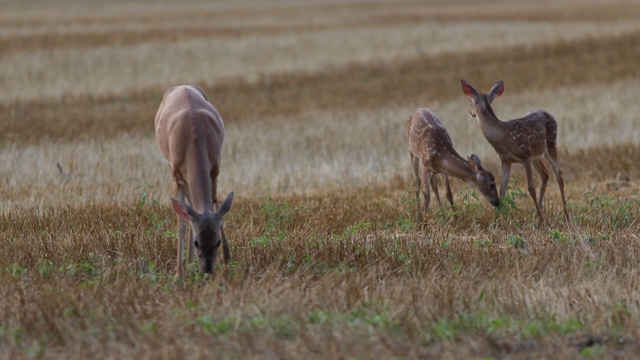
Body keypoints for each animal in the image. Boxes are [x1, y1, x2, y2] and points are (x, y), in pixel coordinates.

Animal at [155, 85, 235, 278]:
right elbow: (181, 224)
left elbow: (216, 206)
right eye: (197, 242)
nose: (207, 270)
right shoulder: (176, 175)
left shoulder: (214, 169)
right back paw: (189, 264)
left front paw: (227, 256)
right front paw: (179, 274)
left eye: (217, 241)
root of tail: (182, 86)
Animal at [460, 80, 568, 224]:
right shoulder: (505, 160)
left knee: (559, 175)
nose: (470, 112)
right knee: (545, 175)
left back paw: (565, 215)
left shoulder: (525, 156)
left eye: (470, 102)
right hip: (536, 156)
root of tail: (549, 114)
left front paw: (541, 219)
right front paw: (497, 218)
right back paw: (535, 214)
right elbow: (502, 189)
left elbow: (531, 188)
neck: (503, 136)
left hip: (551, 144)